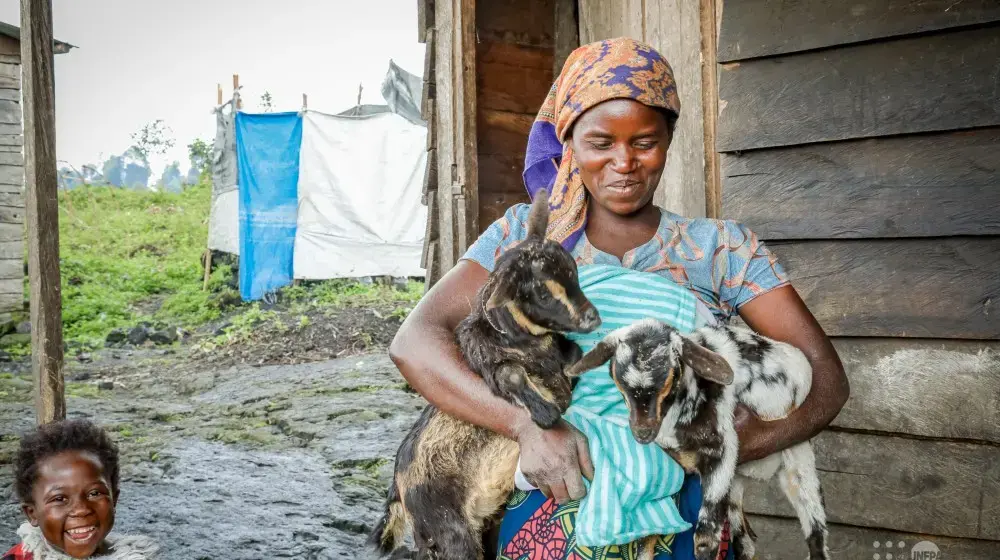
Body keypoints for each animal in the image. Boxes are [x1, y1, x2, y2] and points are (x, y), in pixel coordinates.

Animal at [370, 189, 596, 560]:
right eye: (542, 293)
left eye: (574, 272)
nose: (593, 317)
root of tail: (397, 490)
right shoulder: (491, 364)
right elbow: (509, 376)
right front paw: (546, 413)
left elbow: (572, 355)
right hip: (447, 529)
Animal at [572, 320, 828, 560]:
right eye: (619, 381)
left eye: (670, 377)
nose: (643, 432)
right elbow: (651, 531)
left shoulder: (723, 449)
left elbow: (705, 537)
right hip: (736, 484)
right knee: (744, 541)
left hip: (800, 464)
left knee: (816, 535)